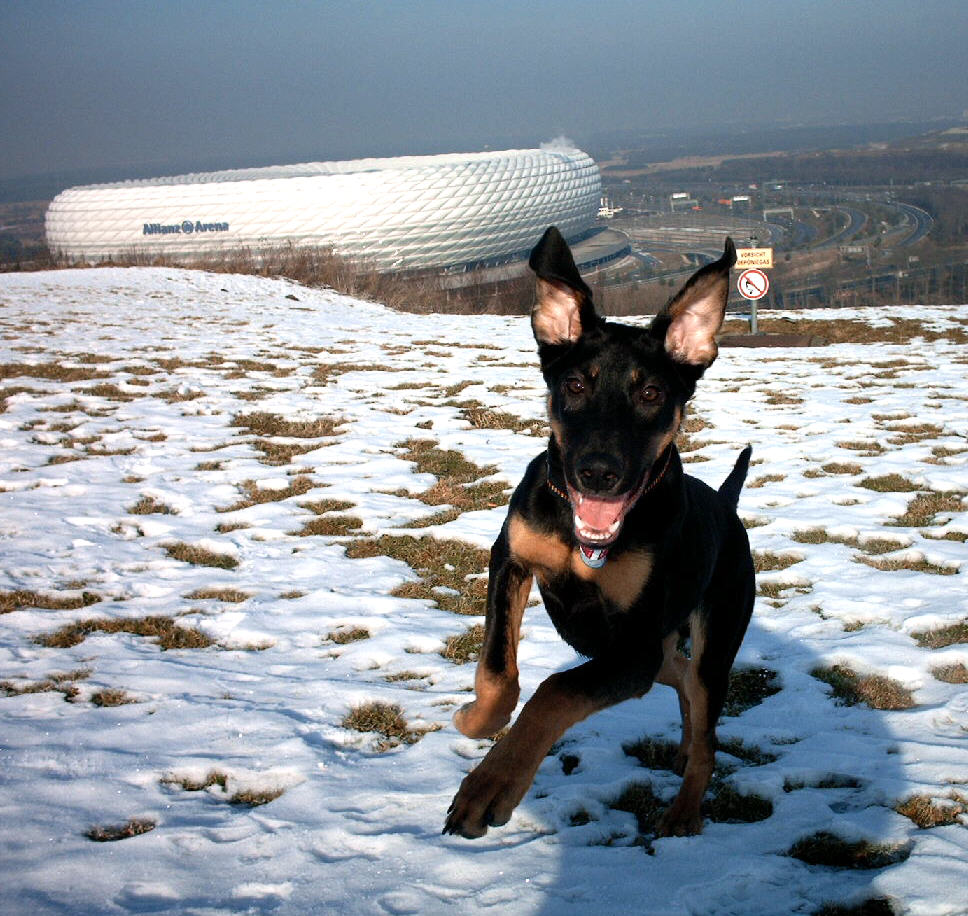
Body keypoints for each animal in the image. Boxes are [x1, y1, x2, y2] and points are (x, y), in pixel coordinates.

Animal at [446, 227, 756, 836]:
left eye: (652, 394)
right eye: (574, 384)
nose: (598, 472)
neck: (583, 541)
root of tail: (726, 507)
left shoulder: (630, 652)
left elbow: (553, 691)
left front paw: (492, 784)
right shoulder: (509, 558)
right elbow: (498, 669)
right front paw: (475, 720)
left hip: (713, 637)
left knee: (706, 727)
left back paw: (683, 815)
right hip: (659, 653)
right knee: (681, 683)